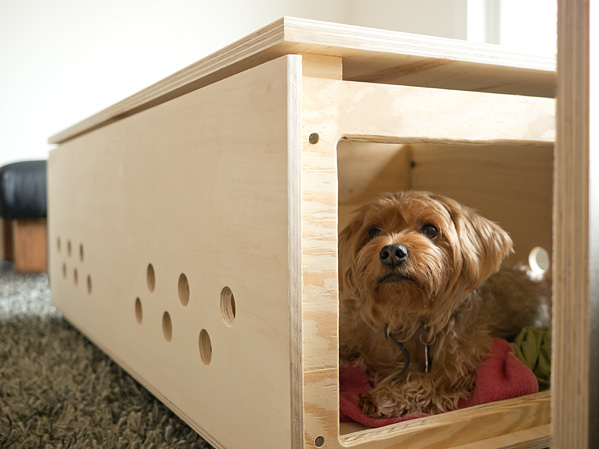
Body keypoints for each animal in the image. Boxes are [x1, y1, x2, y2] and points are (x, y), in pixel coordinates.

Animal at [340, 191, 552, 418]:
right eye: (373, 232)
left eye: (430, 230)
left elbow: (425, 381)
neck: (408, 314)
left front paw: (384, 397)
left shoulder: (457, 366)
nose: (392, 251)